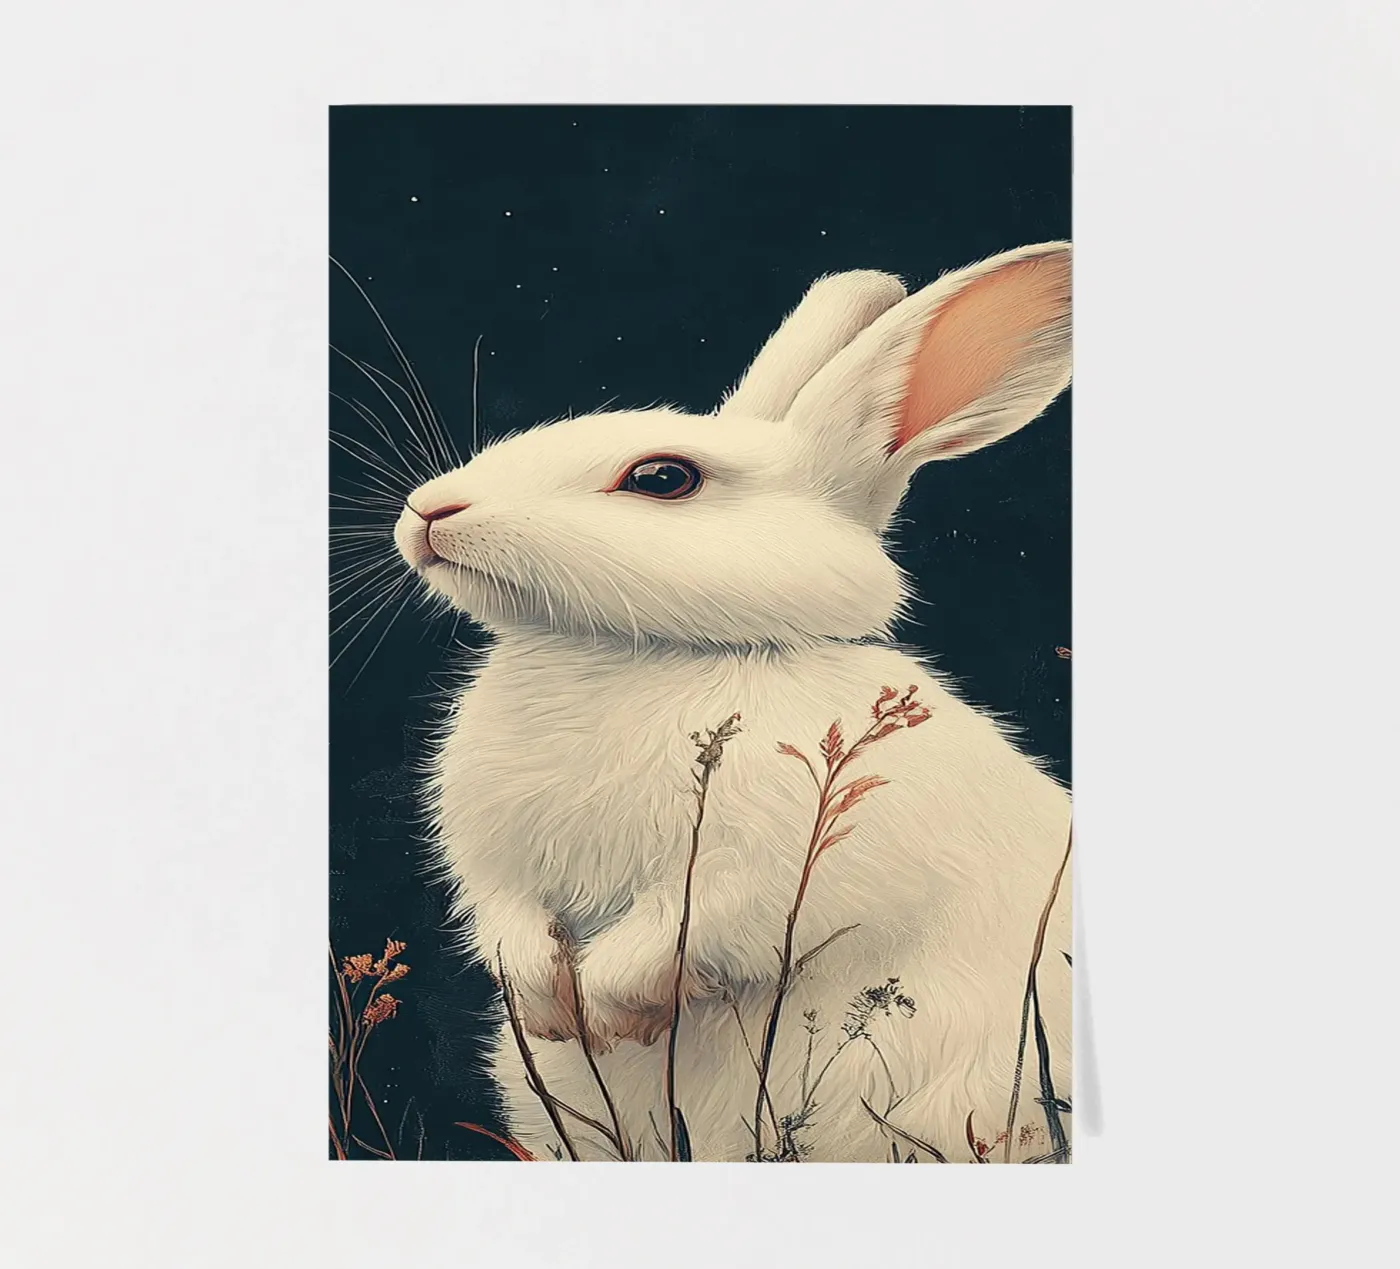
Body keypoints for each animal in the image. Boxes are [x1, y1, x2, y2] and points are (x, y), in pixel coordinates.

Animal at [392, 241, 1073, 1162]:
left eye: (662, 477)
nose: (430, 510)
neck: (629, 652)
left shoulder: (764, 871)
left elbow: (682, 930)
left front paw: (606, 1009)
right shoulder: (492, 860)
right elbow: (506, 918)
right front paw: (549, 1004)